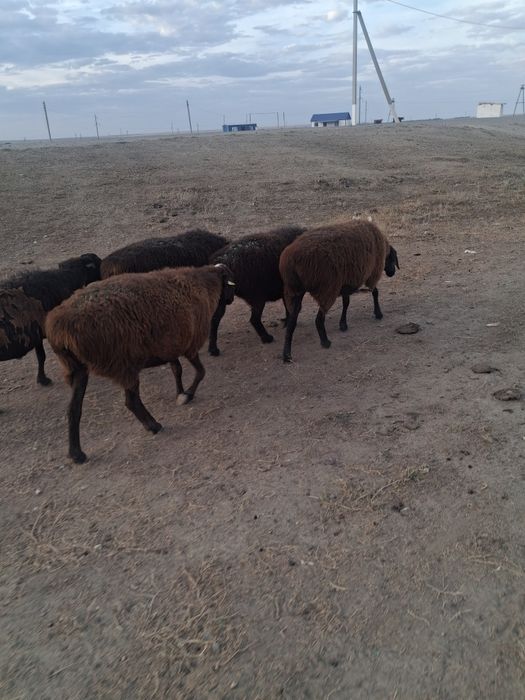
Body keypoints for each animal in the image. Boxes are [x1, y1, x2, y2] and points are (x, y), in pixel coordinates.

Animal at [0, 254, 101, 385]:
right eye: (98, 264)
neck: (66, 278)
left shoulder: (37, 335)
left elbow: (41, 356)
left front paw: (41, 379)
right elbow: (44, 356)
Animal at [45, 264, 235, 464]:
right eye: (232, 282)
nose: (230, 300)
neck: (205, 284)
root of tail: (60, 329)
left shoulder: (169, 346)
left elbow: (177, 370)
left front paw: (180, 392)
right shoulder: (189, 345)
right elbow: (200, 372)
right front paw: (187, 395)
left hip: (77, 369)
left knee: (74, 409)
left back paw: (77, 454)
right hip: (123, 363)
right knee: (131, 401)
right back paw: (154, 425)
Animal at [208, 225, 307, 355]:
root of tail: (222, 261)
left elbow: (288, 307)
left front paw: (286, 321)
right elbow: (293, 308)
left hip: (223, 299)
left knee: (214, 320)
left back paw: (213, 349)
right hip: (257, 298)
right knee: (254, 319)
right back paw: (267, 338)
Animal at [279, 221, 399, 362]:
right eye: (393, 259)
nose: (392, 273)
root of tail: (291, 261)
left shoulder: (346, 281)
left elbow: (346, 303)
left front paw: (343, 324)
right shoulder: (372, 272)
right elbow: (375, 292)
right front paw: (378, 313)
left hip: (295, 291)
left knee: (292, 322)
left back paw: (287, 354)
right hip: (326, 288)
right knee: (318, 319)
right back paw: (325, 342)